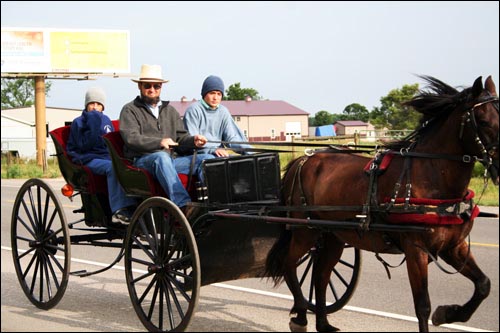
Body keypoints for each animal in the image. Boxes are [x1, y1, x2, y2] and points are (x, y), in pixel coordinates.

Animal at [264, 76, 498, 332]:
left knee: (321, 275)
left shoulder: (453, 246)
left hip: (334, 236)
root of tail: (304, 159)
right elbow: (422, 306)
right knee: (290, 264)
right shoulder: (416, 249)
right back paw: (300, 316)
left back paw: (323, 323)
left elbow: (483, 284)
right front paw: (441, 312)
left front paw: (448, 313)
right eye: (483, 121)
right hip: (304, 231)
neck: (429, 175)